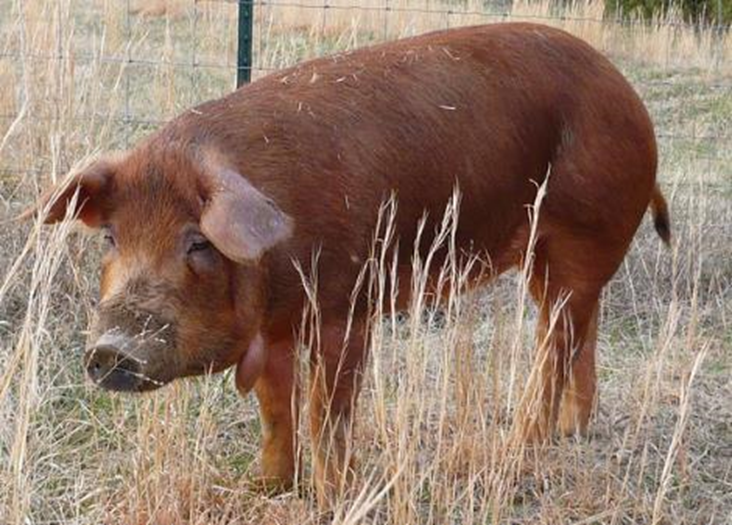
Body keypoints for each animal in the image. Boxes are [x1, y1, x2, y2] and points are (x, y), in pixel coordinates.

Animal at [27, 24, 672, 504]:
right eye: (111, 237)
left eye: (198, 242)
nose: (111, 348)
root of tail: (631, 98)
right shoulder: (277, 327)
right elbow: (275, 409)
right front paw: (265, 486)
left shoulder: (345, 306)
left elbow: (325, 413)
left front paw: (334, 496)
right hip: (548, 258)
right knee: (581, 331)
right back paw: (573, 430)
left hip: (581, 232)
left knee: (555, 345)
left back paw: (521, 449)